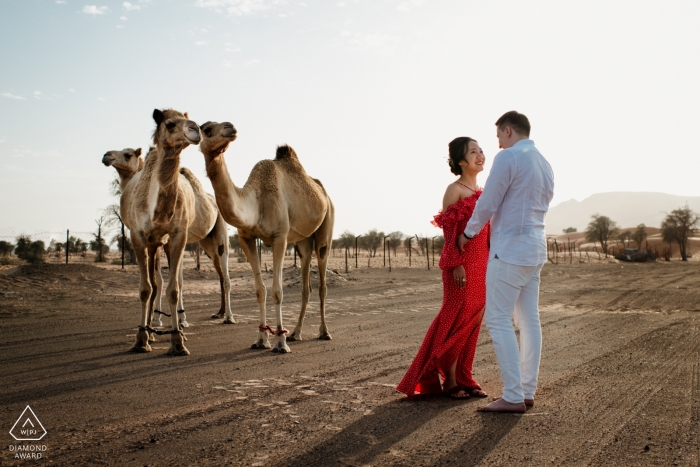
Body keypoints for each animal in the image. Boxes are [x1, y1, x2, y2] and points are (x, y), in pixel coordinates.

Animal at [104, 109, 231, 356]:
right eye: (170, 124)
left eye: (126, 154)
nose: (106, 156)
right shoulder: (143, 237)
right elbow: (150, 287)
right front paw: (144, 335)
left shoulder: (175, 236)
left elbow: (172, 285)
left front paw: (176, 337)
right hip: (205, 243)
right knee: (219, 274)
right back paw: (217, 313)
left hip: (220, 234)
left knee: (225, 274)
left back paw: (228, 317)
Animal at [197, 121, 334, 354]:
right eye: (206, 129)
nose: (230, 127)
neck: (256, 202)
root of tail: (323, 192)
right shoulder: (247, 239)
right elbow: (260, 290)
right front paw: (261, 339)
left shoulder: (280, 237)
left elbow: (277, 291)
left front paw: (280, 342)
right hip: (303, 242)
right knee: (306, 283)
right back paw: (296, 333)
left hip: (327, 227)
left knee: (322, 282)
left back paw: (324, 332)